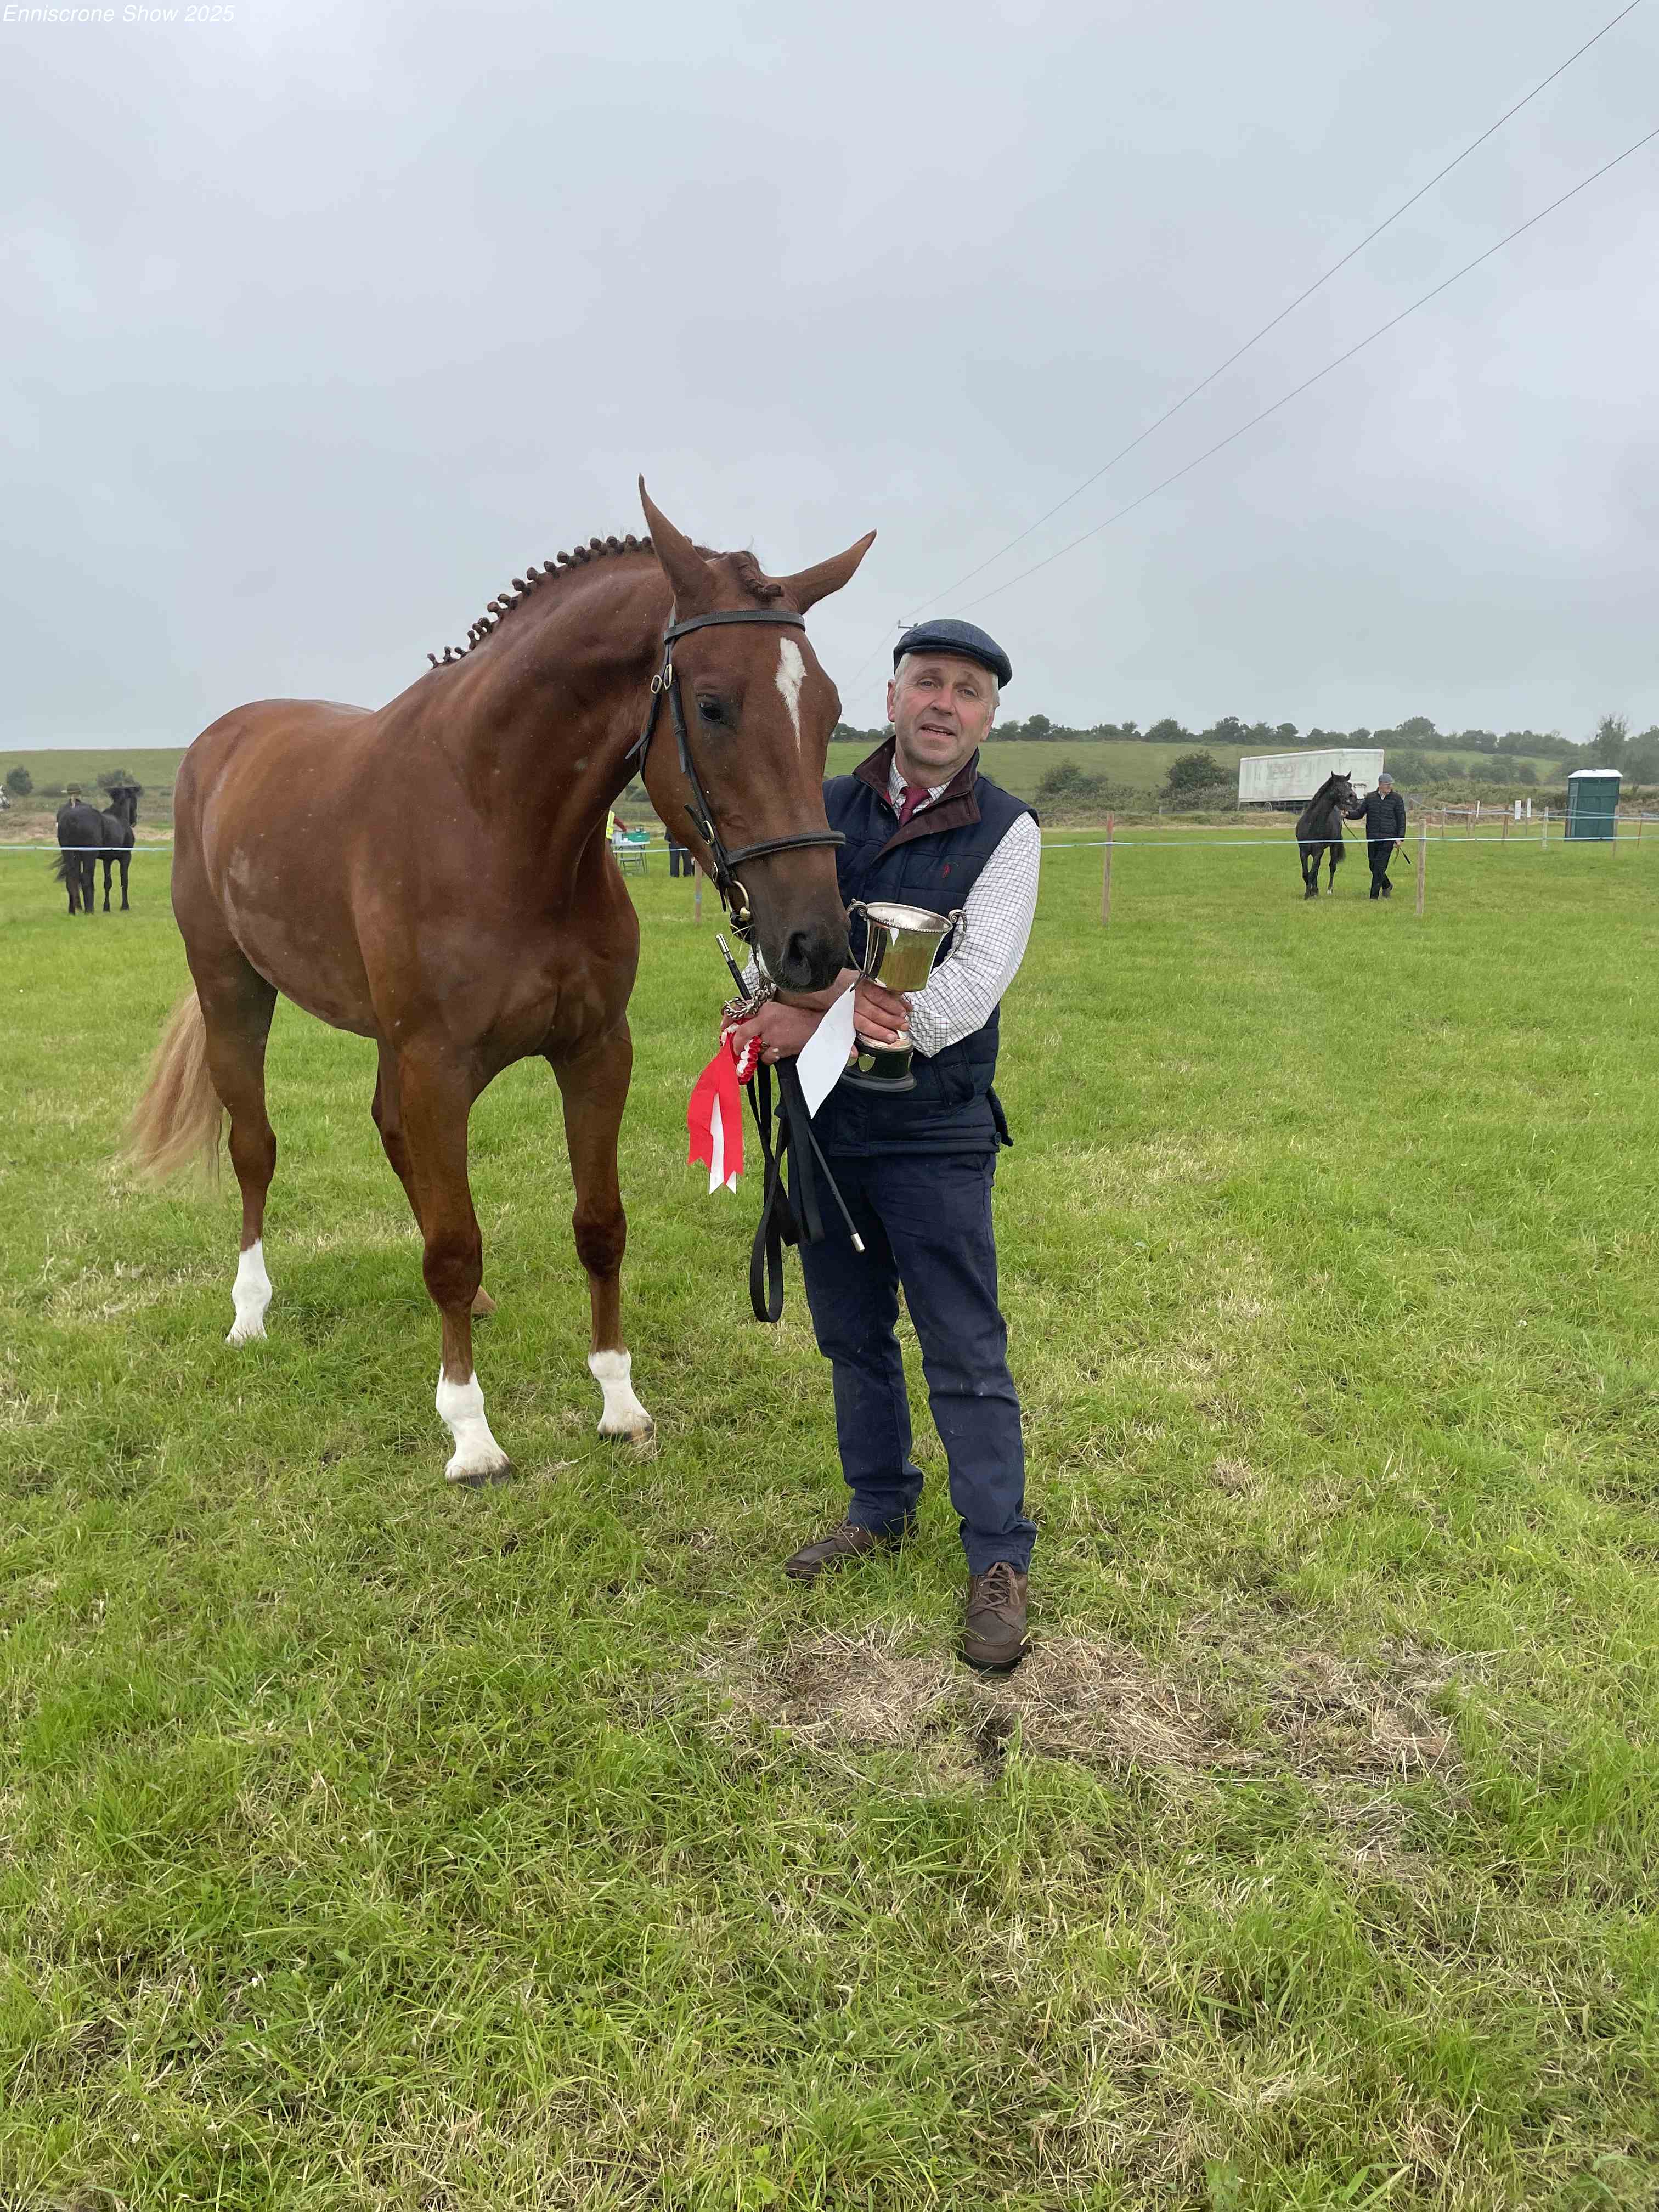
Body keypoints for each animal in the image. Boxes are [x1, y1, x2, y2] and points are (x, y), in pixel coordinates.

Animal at [128, 483, 873, 1485]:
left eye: (827, 709)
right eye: (714, 706)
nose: (816, 943)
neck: (497, 824)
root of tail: (219, 743)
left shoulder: (594, 1053)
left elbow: (598, 1224)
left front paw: (619, 1401)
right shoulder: (437, 1062)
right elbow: (453, 1243)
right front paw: (470, 1431)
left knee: (391, 1133)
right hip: (234, 994)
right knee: (256, 1148)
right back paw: (250, 1311)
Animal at [1295, 772, 1357, 898]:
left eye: (1350, 785)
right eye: (1338, 786)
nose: (1353, 797)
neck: (1312, 825)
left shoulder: (1319, 851)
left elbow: (1312, 872)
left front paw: (1309, 893)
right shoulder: (1303, 852)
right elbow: (1306, 873)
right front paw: (1311, 891)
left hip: (1333, 846)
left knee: (1332, 866)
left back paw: (1329, 890)